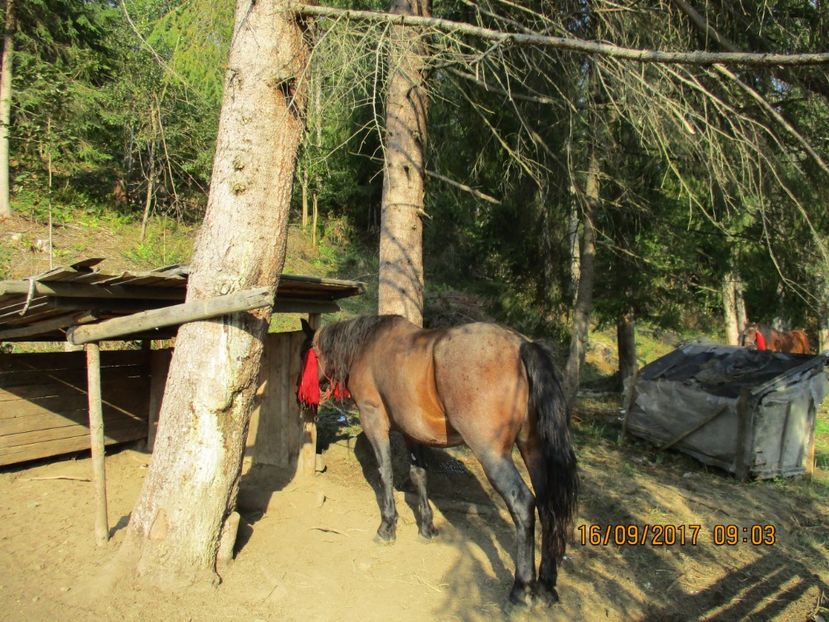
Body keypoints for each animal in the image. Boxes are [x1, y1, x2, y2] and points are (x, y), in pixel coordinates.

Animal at [296, 316, 576, 608]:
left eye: (304, 353)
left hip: (493, 455)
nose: (298, 392)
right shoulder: (412, 433)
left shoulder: (374, 421)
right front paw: (427, 527)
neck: (367, 346)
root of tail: (522, 345)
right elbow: (419, 475)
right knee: (547, 506)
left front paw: (387, 526)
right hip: (533, 450)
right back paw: (546, 585)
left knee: (522, 503)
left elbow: (385, 472)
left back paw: (522, 588)